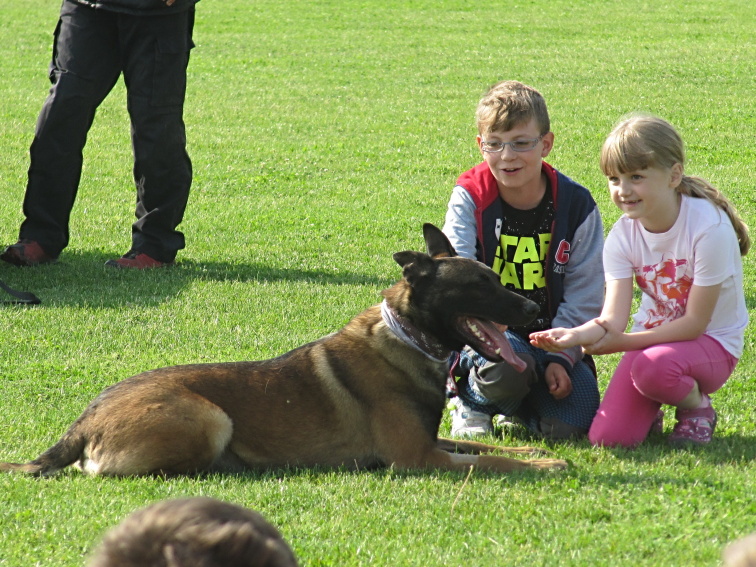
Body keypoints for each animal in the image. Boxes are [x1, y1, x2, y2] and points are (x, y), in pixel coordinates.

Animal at [0, 224, 567, 476]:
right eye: (479, 285)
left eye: (495, 277)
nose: (533, 309)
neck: (407, 336)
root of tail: (84, 420)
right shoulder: (418, 457)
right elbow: (492, 462)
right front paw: (547, 465)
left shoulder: (431, 444)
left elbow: (490, 449)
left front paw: (534, 451)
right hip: (210, 417)